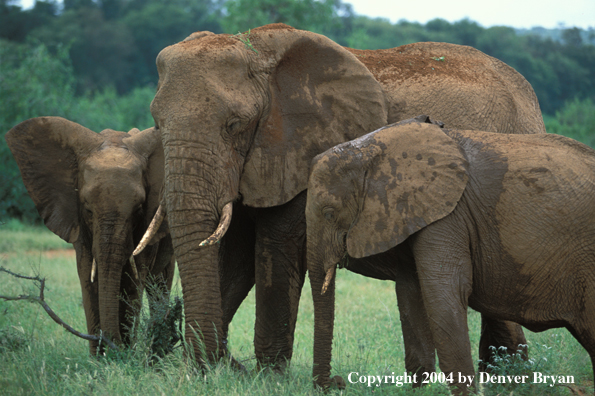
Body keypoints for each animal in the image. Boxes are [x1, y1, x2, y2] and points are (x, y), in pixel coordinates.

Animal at [7, 116, 175, 354]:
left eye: (139, 210)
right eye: (87, 209)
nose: (114, 346)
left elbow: (134, 281)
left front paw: (123, 355)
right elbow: (88, 276)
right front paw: (101, 358)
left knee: (160, 286)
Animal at [137, 23, 548, 376]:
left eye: (234, 125)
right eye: (157, 123)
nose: (223, 362)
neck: (255, 52)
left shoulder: (300, 150)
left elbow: (275, 249)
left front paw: (267, 377)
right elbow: (235, 258)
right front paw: (207, 372)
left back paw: (510, 374)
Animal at [308, 117, 595, 392]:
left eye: (329, 213)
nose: (338, 382)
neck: (373, 148)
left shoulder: (449, 215)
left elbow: (445, 295)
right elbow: (412, 292)